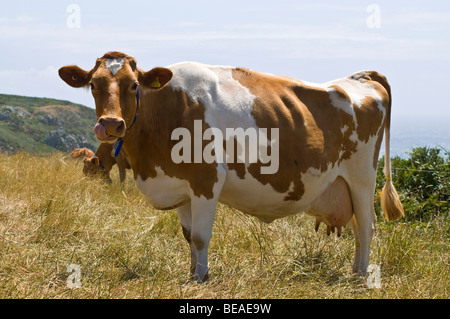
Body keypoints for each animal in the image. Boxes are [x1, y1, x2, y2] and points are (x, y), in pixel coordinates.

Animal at [59, 51, 404, 282]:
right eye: (93, 85)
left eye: (133, 85)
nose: (110, 124)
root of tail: (360, 77)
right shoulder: (179, 187)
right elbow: (188, 236)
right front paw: (192, 272)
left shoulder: (207, 178)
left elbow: (200, 236)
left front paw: (201, 278)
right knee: (359, 226)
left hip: (362, 177)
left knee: (366, 226)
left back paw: (360, 275)